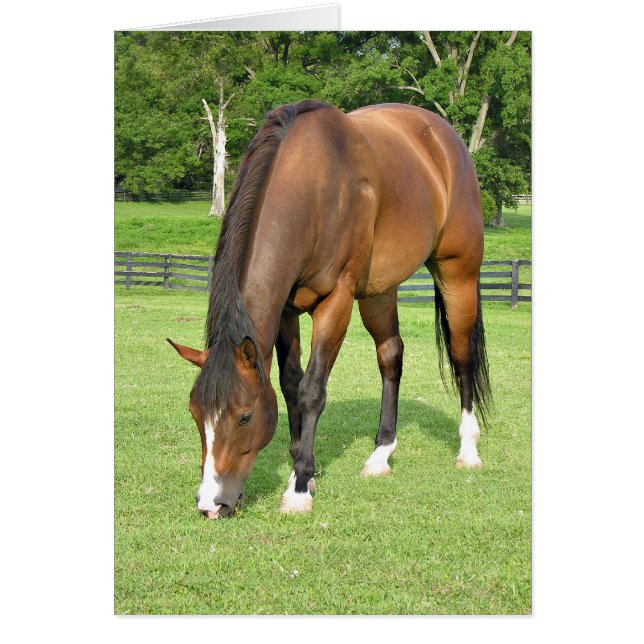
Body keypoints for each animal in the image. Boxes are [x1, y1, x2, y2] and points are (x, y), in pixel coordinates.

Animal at [168, 100, 491, 519]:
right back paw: (380, 454)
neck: (313, 186)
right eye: (195, 414)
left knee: (462, 355)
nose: (211, 504)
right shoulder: (286, 310)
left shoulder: (336, 301)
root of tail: (447, 140)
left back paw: (468, 449)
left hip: (458, 272)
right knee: (391, 356)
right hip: (378, 290)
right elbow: (290, 385)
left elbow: (311, 390)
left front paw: (299, 486)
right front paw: (300, 467)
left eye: (244, 417)